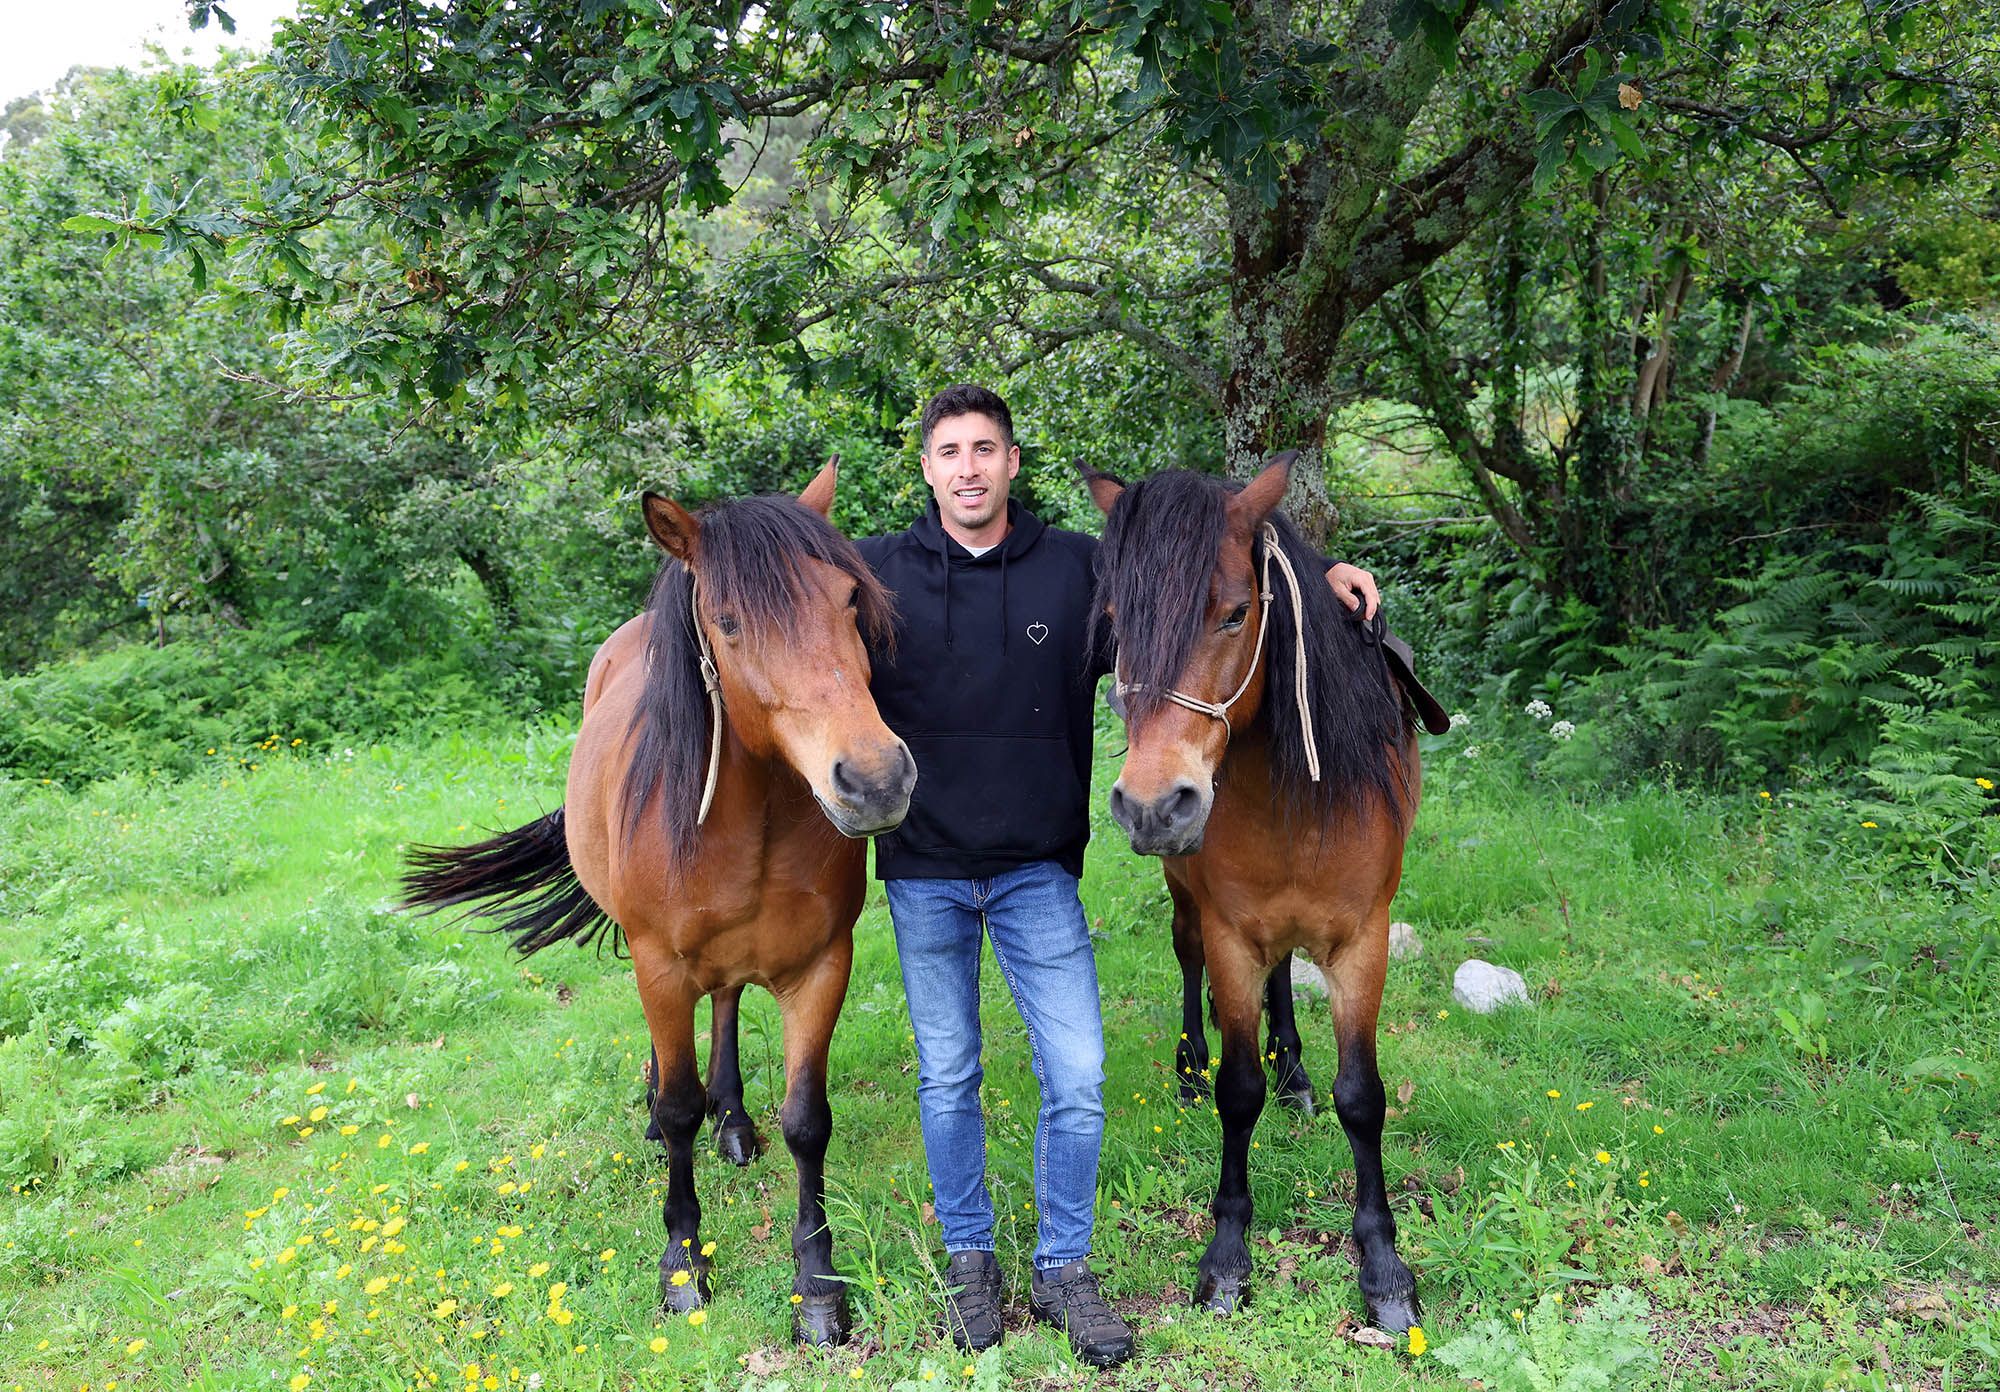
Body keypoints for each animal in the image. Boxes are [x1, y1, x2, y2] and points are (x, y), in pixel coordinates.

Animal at [400, 468, 916, 1352]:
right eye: (731, 623)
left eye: (849, 599)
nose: (876, 779)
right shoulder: (661, 965)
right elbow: (677, 1110)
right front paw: (683, 1264)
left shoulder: (822, 965)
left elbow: (807, 1121)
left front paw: (817, 1288)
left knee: (729, 1003)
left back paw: (733, 1118)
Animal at [1088, 460, 1432, 1336]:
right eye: (1116, 621)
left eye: (1236, 612)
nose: (1153, 806)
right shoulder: (1230, 937)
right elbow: (1235, 1093)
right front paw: (1226, 1259)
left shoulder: (1362, 941)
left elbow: (1362, 1098)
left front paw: (1383, 1266)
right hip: (1185, 899)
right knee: (1186, 963)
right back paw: (1187, 1070)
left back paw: (1294, 1071)